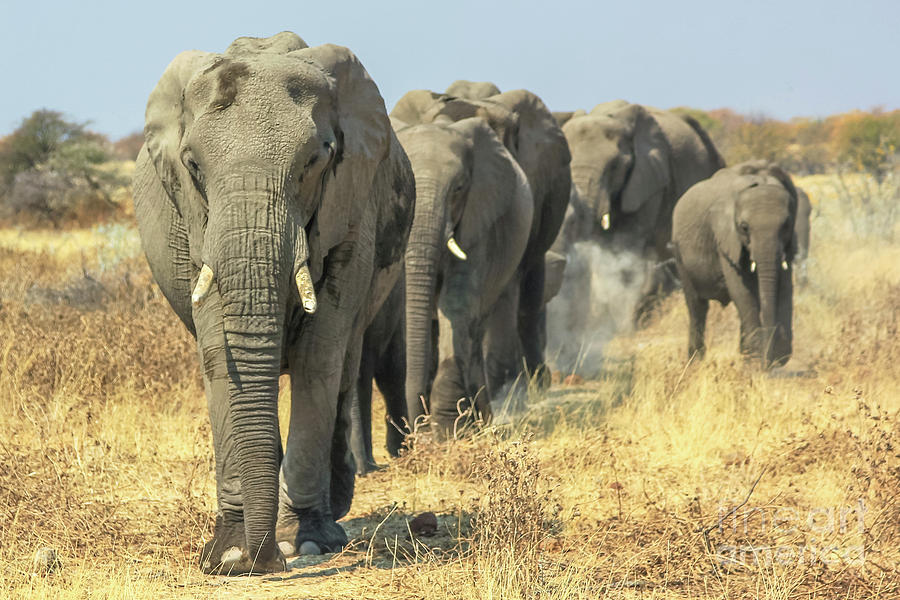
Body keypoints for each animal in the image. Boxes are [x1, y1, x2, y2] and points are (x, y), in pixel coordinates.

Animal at [131, 30, 414, 576]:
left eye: (315, 161)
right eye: (193, 165)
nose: (263, 563)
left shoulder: (353, 209)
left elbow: (319, 355)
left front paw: (305, 544)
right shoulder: (194, 225)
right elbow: (219, 354)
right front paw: (228, 553)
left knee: (341, 366)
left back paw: (328, 519)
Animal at [672, 159, 800, 368]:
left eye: (787, 225)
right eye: (744, 227)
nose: (768, 362)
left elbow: (786, 286)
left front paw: (774, 355)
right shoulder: (725, 238)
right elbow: (741, 290)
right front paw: (757, 359)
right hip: (678, 252)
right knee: (696, 306)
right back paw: (695, 362)